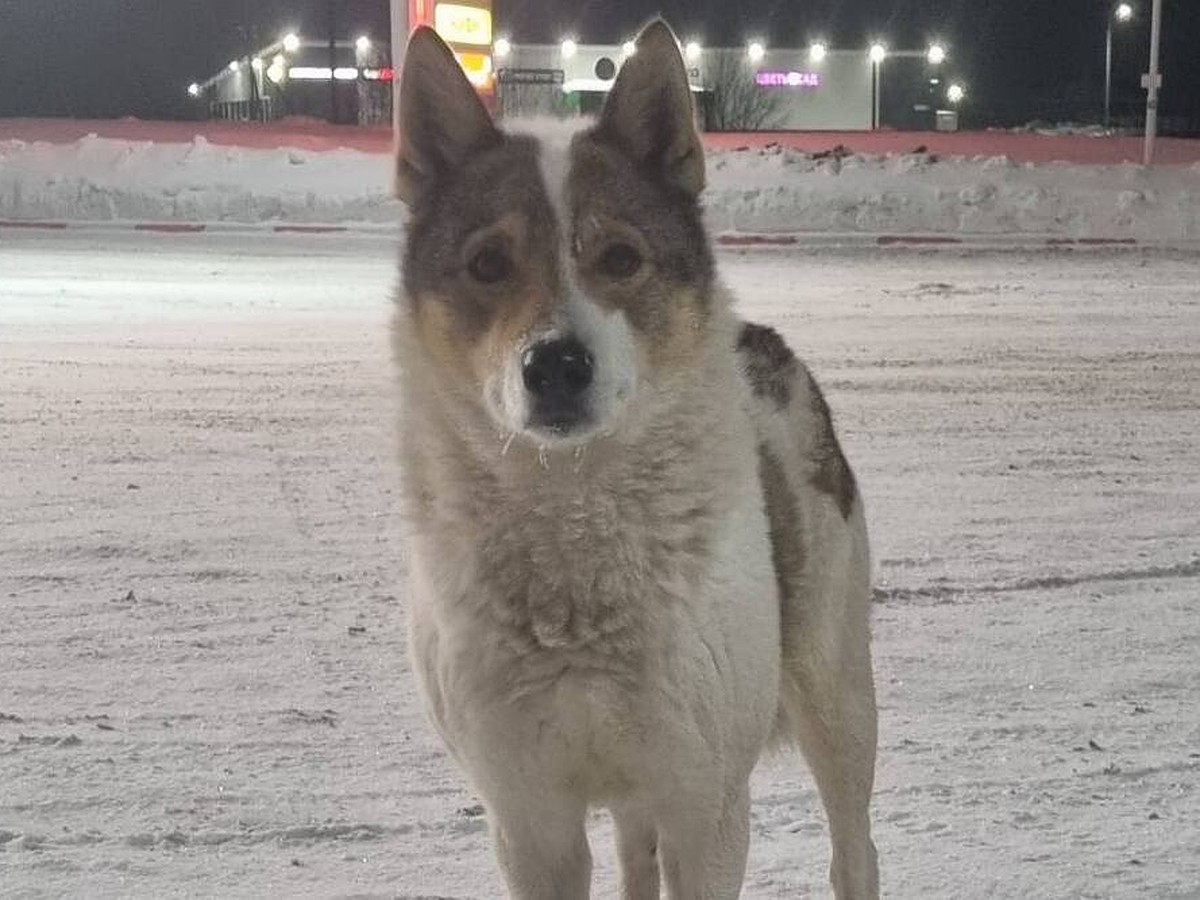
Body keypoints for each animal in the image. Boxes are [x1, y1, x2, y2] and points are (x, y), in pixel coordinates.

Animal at [393, 21, 883, 900]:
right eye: (488, 264)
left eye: (620, 258)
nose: (556, 364)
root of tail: (764, 339)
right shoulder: (530, 823)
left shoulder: (707, 808)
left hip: (837, 701)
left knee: (854, 851)